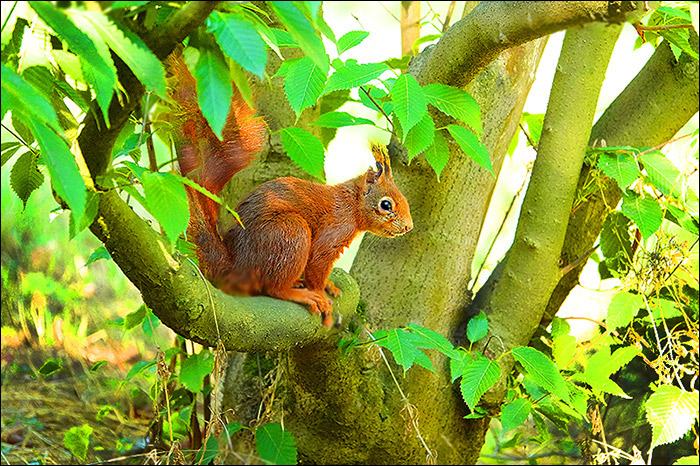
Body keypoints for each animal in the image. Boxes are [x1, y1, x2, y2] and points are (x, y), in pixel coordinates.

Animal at [164, 51, 413, 327]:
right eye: (386, 205)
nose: (408, 227)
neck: (352, 203)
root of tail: (234, 266)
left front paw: (329, 286)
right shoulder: (335, 230)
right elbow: (318, 263)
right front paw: (320, 291)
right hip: (290, 233)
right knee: (273, 287)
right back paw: (297, 292)